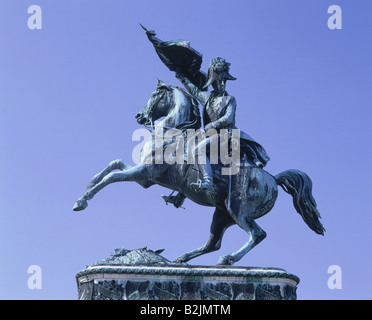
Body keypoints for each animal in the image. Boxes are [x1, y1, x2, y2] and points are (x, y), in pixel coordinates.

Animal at [73, 79, 326, 264]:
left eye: (154, 95)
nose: (139, 116)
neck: (170, 132)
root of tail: (272, 179)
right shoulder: (145, 177)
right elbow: (112, 165)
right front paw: (84, 193)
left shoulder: (145, 173)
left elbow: (113, 175)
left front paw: (83, 201)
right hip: (221, 214)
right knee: (213, 243)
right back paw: (183, 258)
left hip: (238, 208)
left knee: (257, 234)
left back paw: (228, 259)